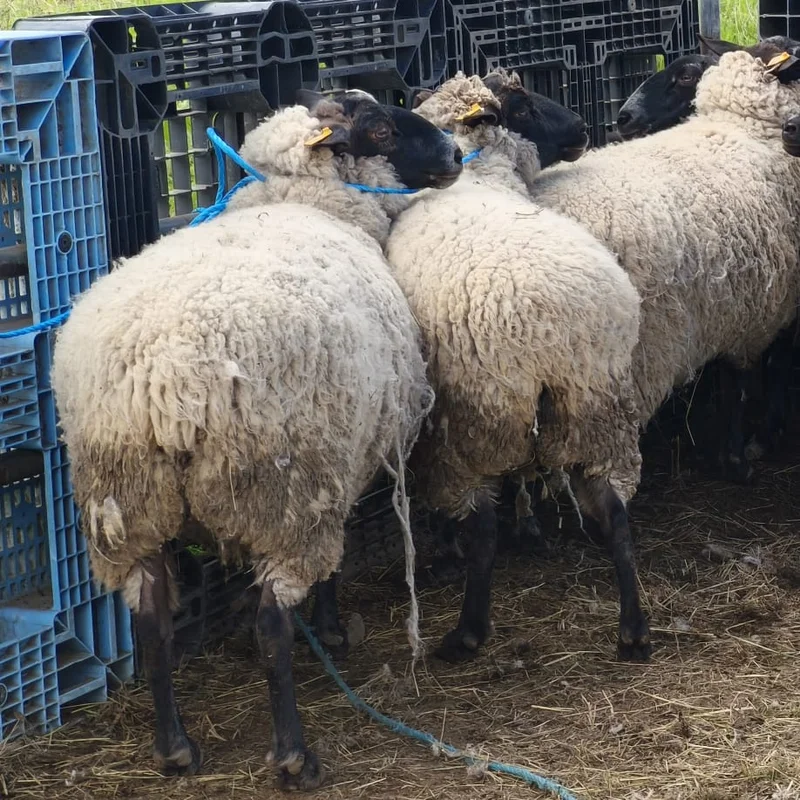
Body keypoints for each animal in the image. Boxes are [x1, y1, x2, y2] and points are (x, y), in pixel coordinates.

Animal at [50, 90, 462, 790]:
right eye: (382, 129)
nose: (456, 153)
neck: (306, 198)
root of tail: (166, 379)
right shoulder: (336, 469)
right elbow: (333, 567)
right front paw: (331, 630)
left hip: (129, 500)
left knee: (152, 619)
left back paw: (175, 750)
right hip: (284, 489)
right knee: (272, 618)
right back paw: (294, 755)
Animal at [384, 73, 650, 664]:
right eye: (525, 106)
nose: (582, 127)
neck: (480, 176)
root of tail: (548, 333)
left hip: (479, 418)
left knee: (484, 528)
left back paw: (467, 633)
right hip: (593, 409)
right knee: (616, 514)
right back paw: (634, 630)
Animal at [510, 51, 800, 488]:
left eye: (686, 76)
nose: (623, 118)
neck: (746, 125)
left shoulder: (735, 309)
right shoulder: (759, 312)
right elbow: (746, 382)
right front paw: (744, 453)